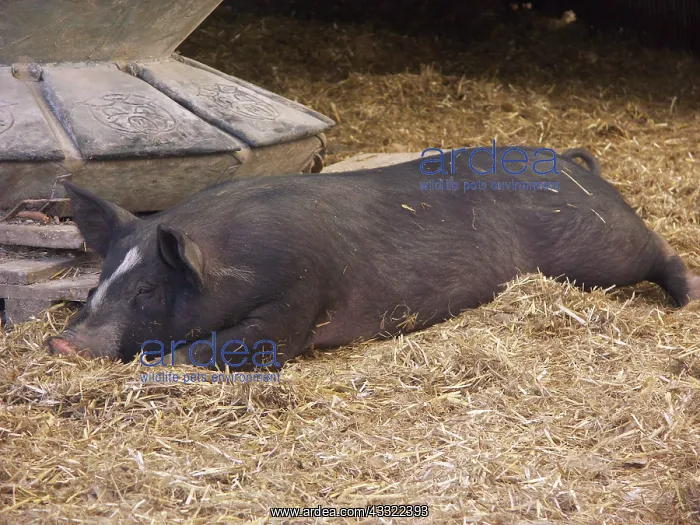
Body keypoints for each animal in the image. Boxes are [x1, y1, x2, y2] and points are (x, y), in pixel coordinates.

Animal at [47, 147, 699, 370]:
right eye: (97, 283)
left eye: (149, 291)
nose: (63, 342)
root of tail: (570, 161)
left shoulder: (297, 296)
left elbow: (233, 347)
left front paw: (170, 360)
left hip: (601, 248)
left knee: (663, 251)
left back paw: (687, 304)